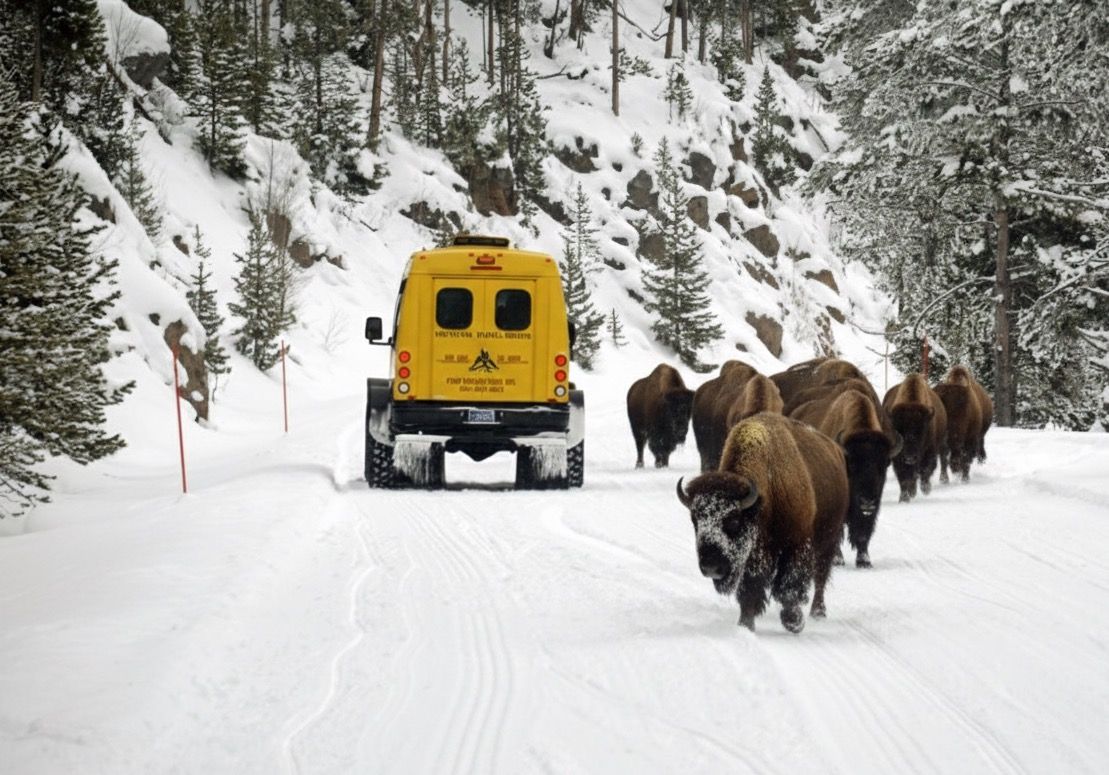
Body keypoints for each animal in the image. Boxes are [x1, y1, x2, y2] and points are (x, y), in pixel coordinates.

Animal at [676, 413, 849, 633]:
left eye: (734, 520)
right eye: (694, 520)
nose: (711, 567)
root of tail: (835, 450)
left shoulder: (797, 546)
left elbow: (788, 587)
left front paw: (794, 622)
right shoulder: (753, 556)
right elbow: (750, 588)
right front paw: (745, 624)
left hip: (828, 541)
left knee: (820, 577)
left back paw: (817, 612)